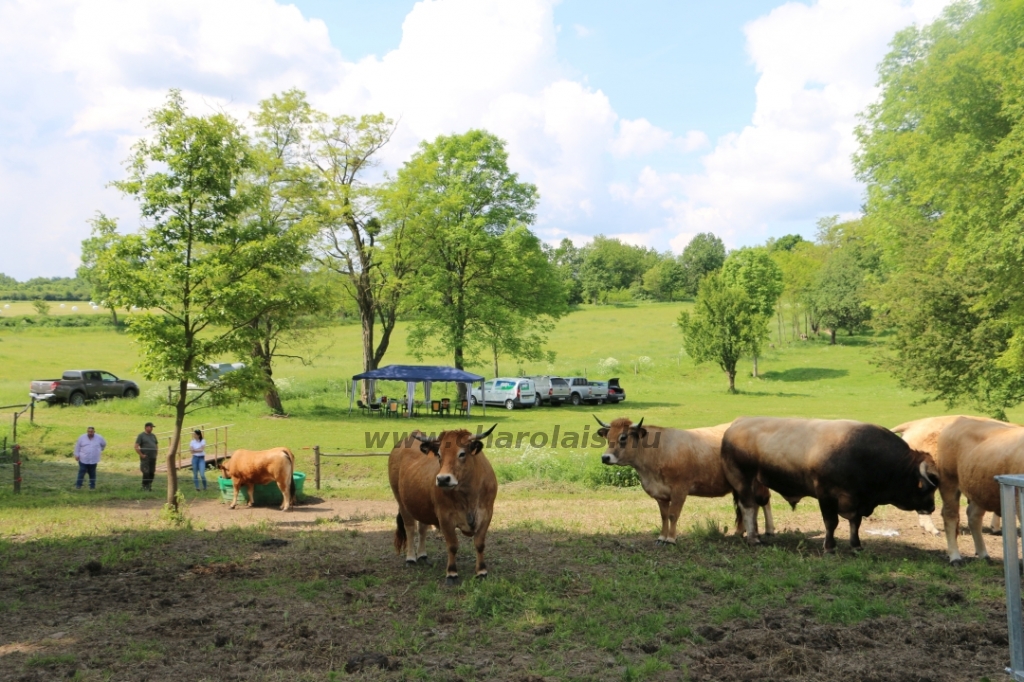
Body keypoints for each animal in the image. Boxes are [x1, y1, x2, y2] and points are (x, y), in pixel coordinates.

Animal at [387, 421, 499, 581]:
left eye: (462, 453)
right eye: (439, 454)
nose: (443, 479)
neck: (468, 495)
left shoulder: (487, 514)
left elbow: (479, 543)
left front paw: (481, 571)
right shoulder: (445, 516)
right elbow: (452, 545)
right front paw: (451, 572)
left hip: (422, 506)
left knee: (422, 528)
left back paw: (422, 555)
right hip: (401, 501)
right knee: (410, 528)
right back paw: (411, 558)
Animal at [593, 413, 774, 540]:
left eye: (623, 437)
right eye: (608, 437)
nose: (605, 457)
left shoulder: (680, 489)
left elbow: (673, 515)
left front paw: (671, 539)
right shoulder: (660, 493)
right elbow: (664, 516)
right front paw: (661, 537)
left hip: (757, 482)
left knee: (763, 502)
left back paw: (768, 530)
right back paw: (741, 532)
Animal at [720, 413, 937, 552]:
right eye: (926, 486)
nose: (932, 507)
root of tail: (737, 423)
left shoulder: (857, 501)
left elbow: (855, 522)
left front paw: (856, 545)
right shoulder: (826, 494)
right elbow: (831, 522)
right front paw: (830, 547)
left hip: (756, 483)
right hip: (741, 479)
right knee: (748, 507)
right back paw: (753, 539)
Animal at [937, 413, 1024, 561]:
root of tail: (960, 420)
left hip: (980, 488)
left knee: (974, 516)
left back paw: (983, 554)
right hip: (949, 482)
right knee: (950, 515)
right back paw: (955, 557)